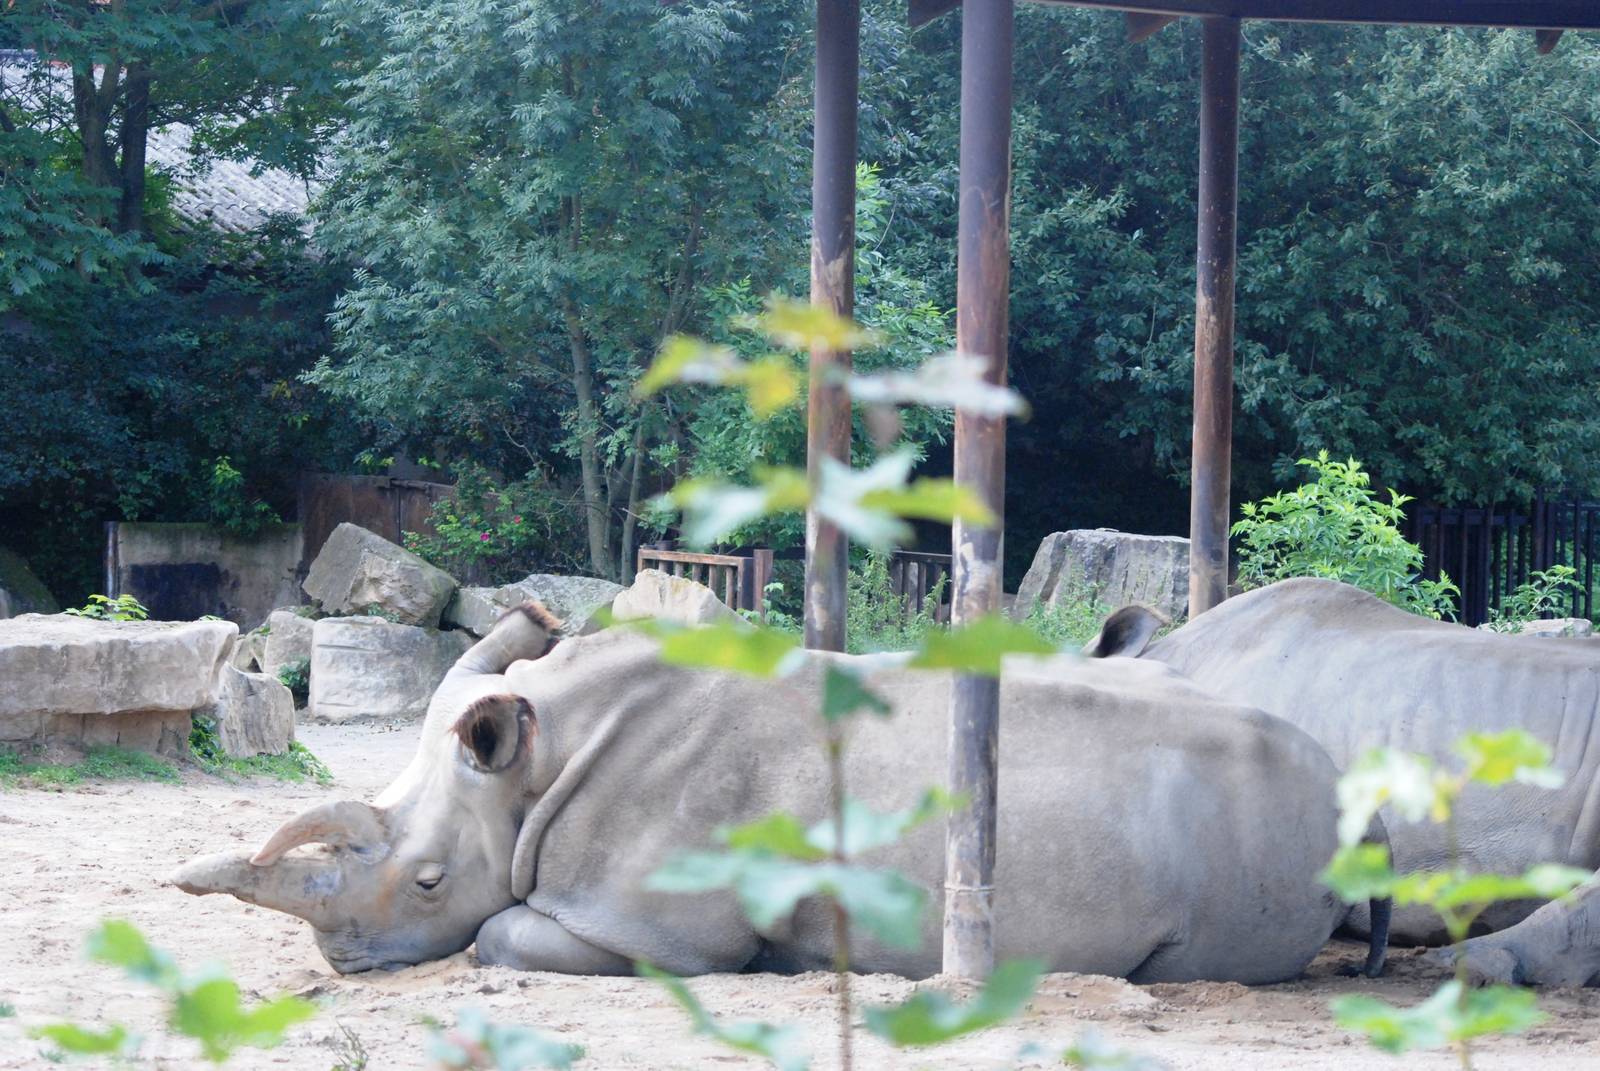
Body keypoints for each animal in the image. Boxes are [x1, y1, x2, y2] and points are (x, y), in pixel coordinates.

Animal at [172, 602, 1387, 984]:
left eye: (427, 882)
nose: (342, 962)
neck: (537, 757)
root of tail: (1348, 791)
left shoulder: (654, 927)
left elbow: (498, 936)